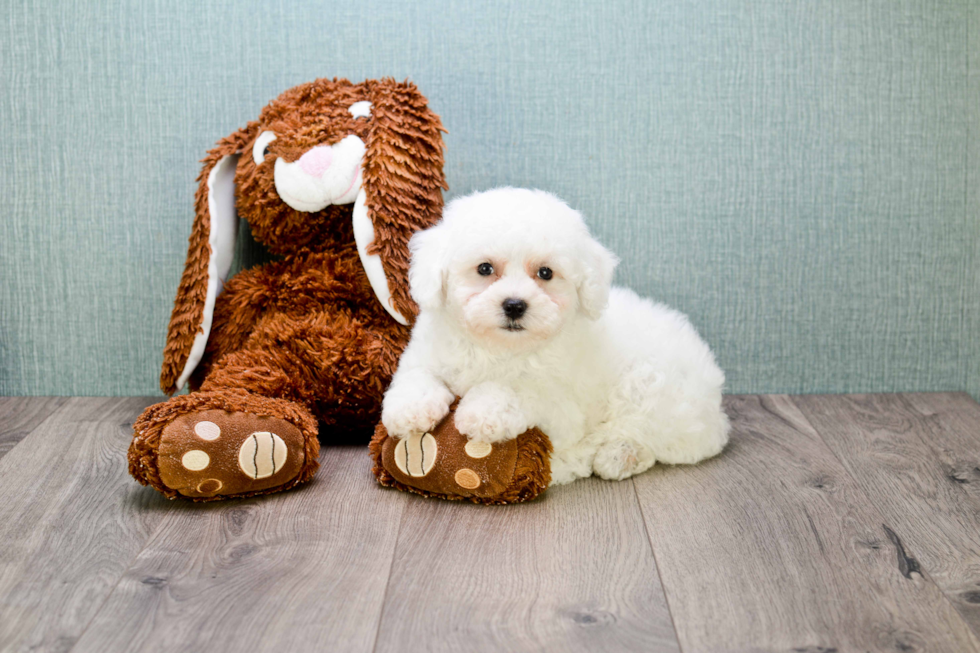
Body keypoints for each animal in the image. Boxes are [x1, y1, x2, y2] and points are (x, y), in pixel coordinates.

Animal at [380, 188, 728, 484]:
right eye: (484, 268)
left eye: (545, 273)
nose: (515, 305)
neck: (498, 347)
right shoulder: (426, 352)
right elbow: (417, 375)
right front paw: (410, 409)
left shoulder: (563, 408)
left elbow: (518, 389)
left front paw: (483, 412)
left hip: (651, 387)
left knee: (653, 438)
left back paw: (613, 456)